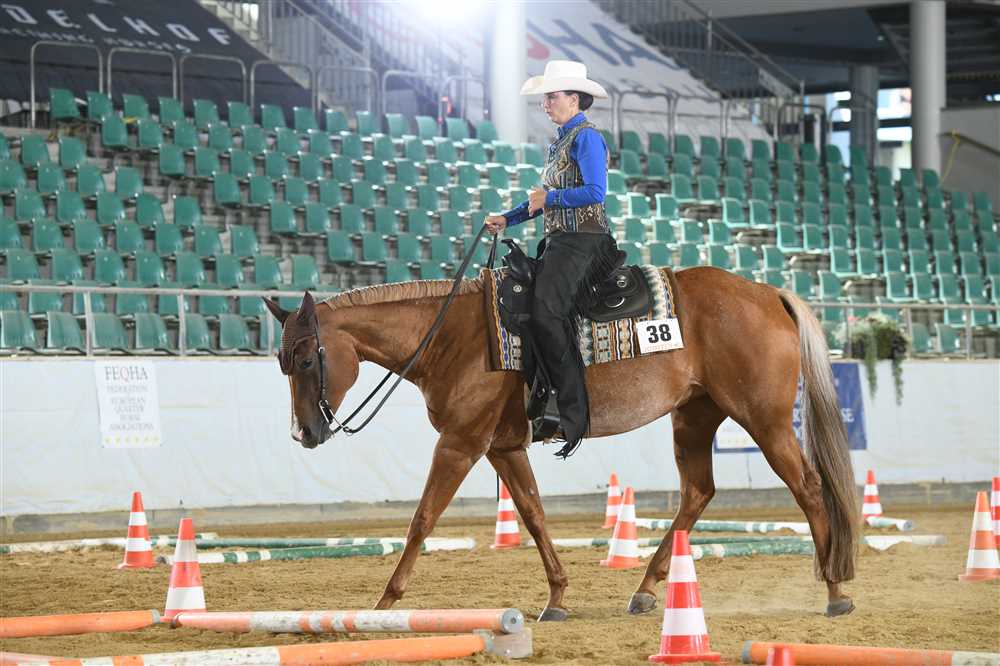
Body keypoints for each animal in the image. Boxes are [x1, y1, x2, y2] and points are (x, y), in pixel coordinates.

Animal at [263, 265, 859, 620]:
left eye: (309, 359)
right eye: (282, 361)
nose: (303, 433)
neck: (454, 336)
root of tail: (768, 293)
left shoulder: (461, 442)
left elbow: (423, 519)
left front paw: (386, 600)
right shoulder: (503, 447)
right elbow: (532, 514)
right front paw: (556, 596)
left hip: (764, 419)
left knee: (808, 488)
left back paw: (835, 589)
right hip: (695, 417)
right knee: (698, 493)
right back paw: (645, 589)